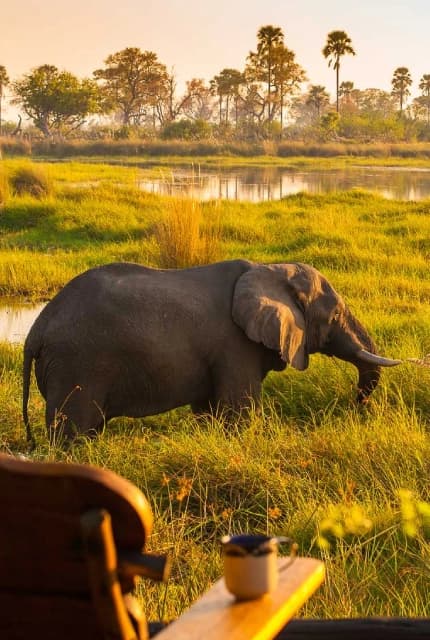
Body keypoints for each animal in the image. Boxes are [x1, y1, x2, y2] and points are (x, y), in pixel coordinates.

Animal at [22, 260, 401, 444]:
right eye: (334, 316)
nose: (358, 404)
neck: (271, 268)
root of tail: (37, 329)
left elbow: (210, 409)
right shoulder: (234, 344)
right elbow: (239, 408)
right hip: (76, 364)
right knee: (73, 433)